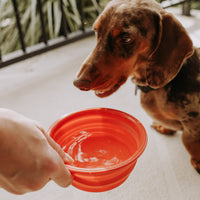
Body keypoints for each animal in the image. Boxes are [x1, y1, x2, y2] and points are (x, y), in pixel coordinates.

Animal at [73, 0, 200, 172]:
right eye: (96, 31)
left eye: (126, 38)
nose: (78, 82)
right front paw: (164, 127)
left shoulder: (193, 123)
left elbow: (189, 141)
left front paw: (197, 161)